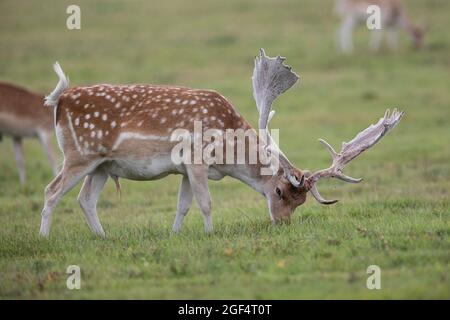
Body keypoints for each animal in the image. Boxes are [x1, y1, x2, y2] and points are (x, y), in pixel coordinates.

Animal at [39, 48, 404, 236]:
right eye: (279, 191)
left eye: (301, 203)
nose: (282, 224)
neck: (227, 154)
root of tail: (59, 100)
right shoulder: (196, 158)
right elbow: (205, 202)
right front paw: (211, 235)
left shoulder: (185, 169)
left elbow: (183, 204)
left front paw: (176, 235)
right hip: (79, 154)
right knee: (52, 190)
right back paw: (44, 238)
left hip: (103, 165)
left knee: (85, 199)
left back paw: (103, 238)